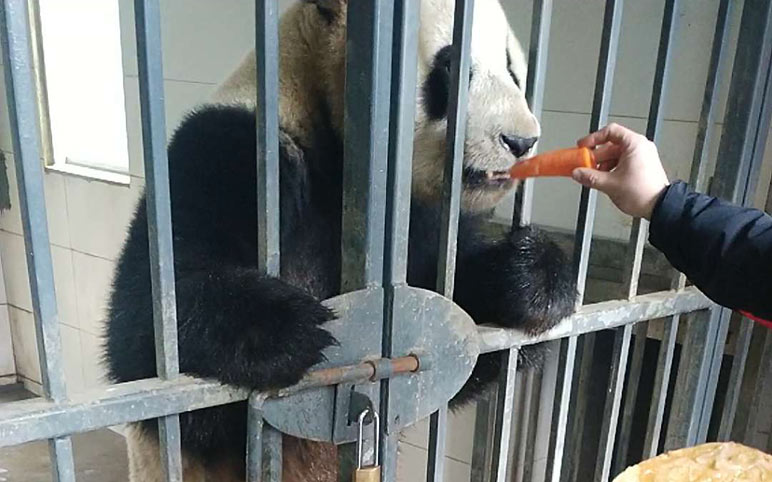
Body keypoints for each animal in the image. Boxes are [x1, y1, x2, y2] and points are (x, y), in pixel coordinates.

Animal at [104, 0, 572, 480]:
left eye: (514, 70)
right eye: (451, 67)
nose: (521, 140)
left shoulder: (421, 226)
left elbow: (451, 340)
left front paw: (530, 281)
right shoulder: (233, 150)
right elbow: (147, 330)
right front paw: (285, 327)